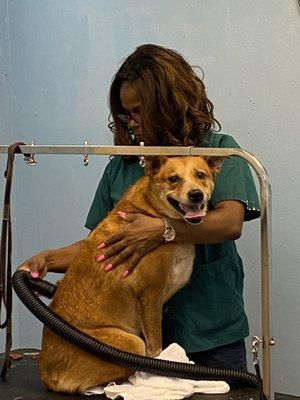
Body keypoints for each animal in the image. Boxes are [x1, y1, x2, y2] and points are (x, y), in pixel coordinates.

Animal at [38, 155, 223, 392]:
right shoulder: (150, 294)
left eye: (201, 175)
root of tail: (45, 372)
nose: (196, 194)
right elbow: (155, 347)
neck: (152, 210)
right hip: (131, 342)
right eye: (173, 179)